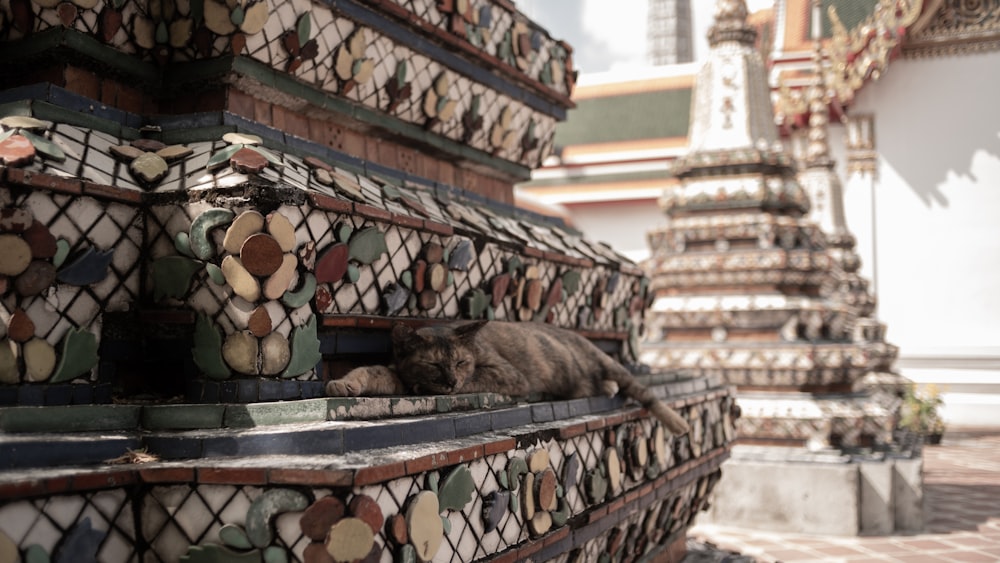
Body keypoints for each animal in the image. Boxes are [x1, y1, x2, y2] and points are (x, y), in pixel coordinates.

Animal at [326, 322, 688, 436]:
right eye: (432, 363)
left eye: (461, 362)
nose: (451, 382)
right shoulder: (396, 374)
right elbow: (371, 371)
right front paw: (344, 384)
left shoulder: (507, 375)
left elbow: (477, 379)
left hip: (611, 365)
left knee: (644, 393)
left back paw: (677, 423)